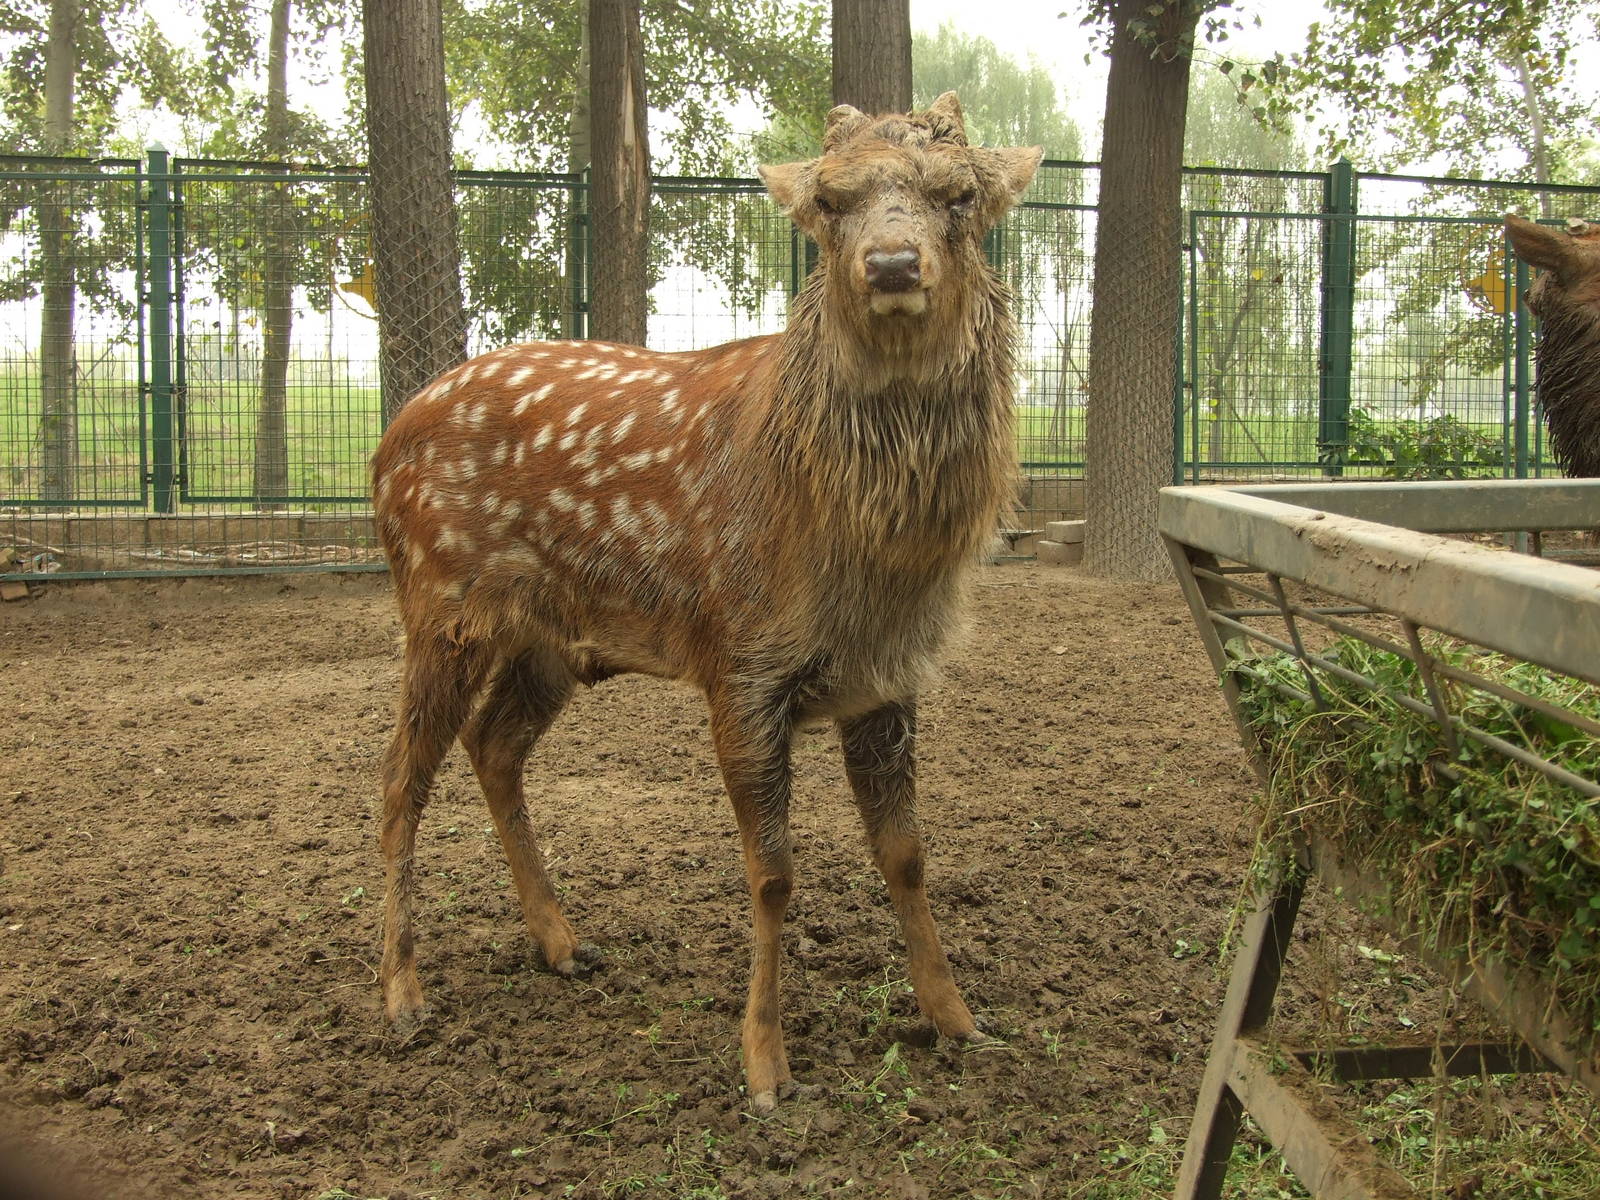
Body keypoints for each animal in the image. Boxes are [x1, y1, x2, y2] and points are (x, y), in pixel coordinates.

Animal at [369, 92, 1041, 1111]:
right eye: (829, 203)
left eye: (959, 195)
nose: (892, 263)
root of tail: (383, 446)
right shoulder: (742, 659)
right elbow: (772, 874)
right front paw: (765, 1064)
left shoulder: (888, 676)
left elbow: (908, 854)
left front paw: (957, 1021)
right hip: (439, 601)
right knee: (400, 777)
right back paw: (404, 995)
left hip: (549, 642)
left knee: (493, 747)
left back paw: (563, 943)